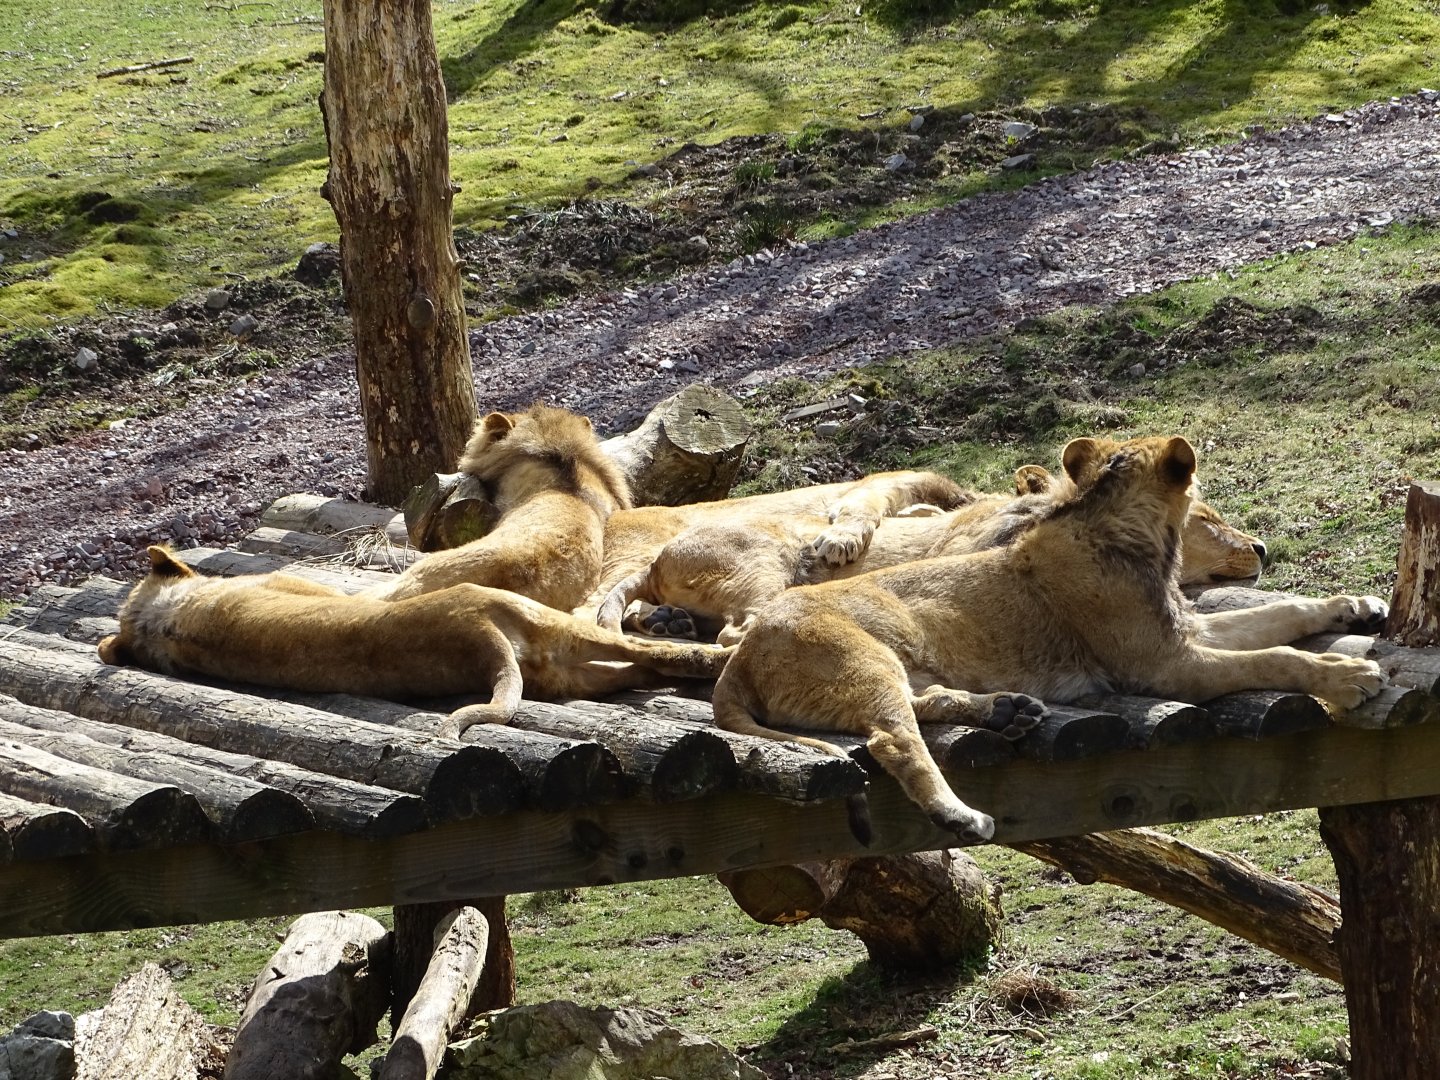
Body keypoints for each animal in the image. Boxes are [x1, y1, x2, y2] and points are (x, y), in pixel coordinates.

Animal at [99, 546, 731, 740]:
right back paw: (713, 653)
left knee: (643, 669)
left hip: (562, 669)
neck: (163, 619)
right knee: (650, 657)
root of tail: (481, 645)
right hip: (536, 619)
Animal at [708, 435, 1386, 843]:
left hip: (905, 667)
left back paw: (1007, 711)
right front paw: (1349, 678)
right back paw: (962, 813)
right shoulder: (1167, 665)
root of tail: (739, 657)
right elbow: (1274, 655)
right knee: (894, 739)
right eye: (1208, 516)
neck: (1134, 540)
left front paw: (1354, 606)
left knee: (923, 705)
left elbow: (1284, 614)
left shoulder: (1185, 630)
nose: (1263, 548)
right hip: (865, 661)